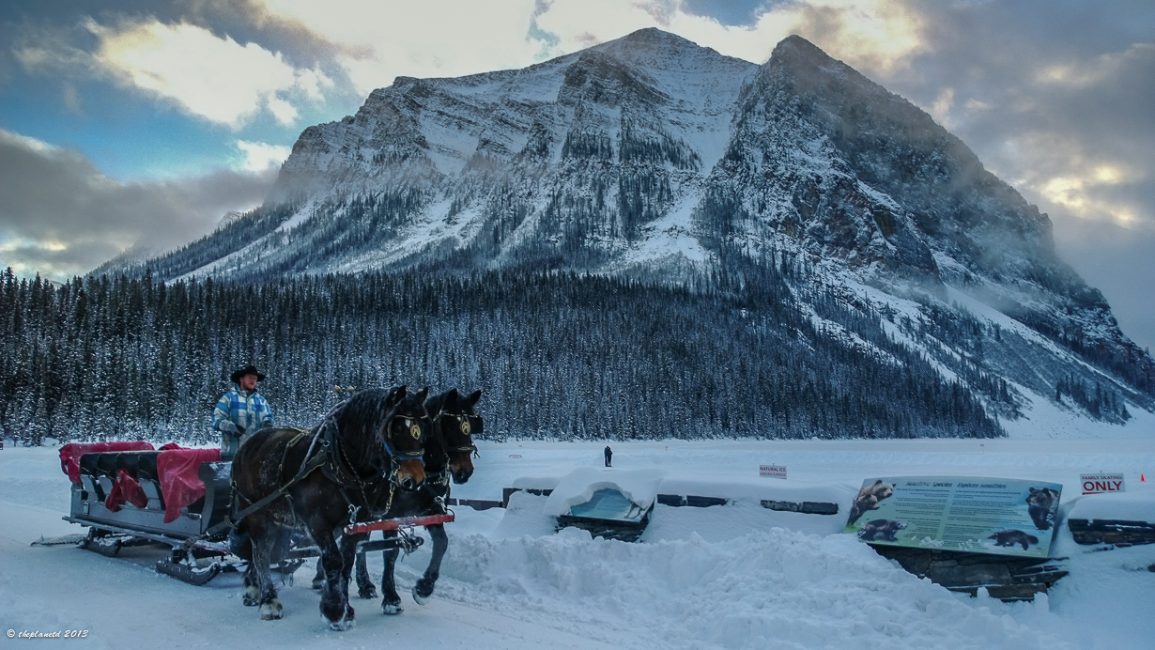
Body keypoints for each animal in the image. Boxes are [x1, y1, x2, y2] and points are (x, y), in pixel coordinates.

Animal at [229, 385, 429, 632]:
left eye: (422, 428)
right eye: (397, 427)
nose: (415, 480)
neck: (340, 464)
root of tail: (247, 443)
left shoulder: (354, 524)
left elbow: (348, 562)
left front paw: (347, 611)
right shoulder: (318, 523)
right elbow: (334, 561)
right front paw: (333, 611)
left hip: (277, 518)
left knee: (265, 551)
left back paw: (253, 587)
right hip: (256, 514)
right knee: (261, 553)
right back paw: (268, 600)